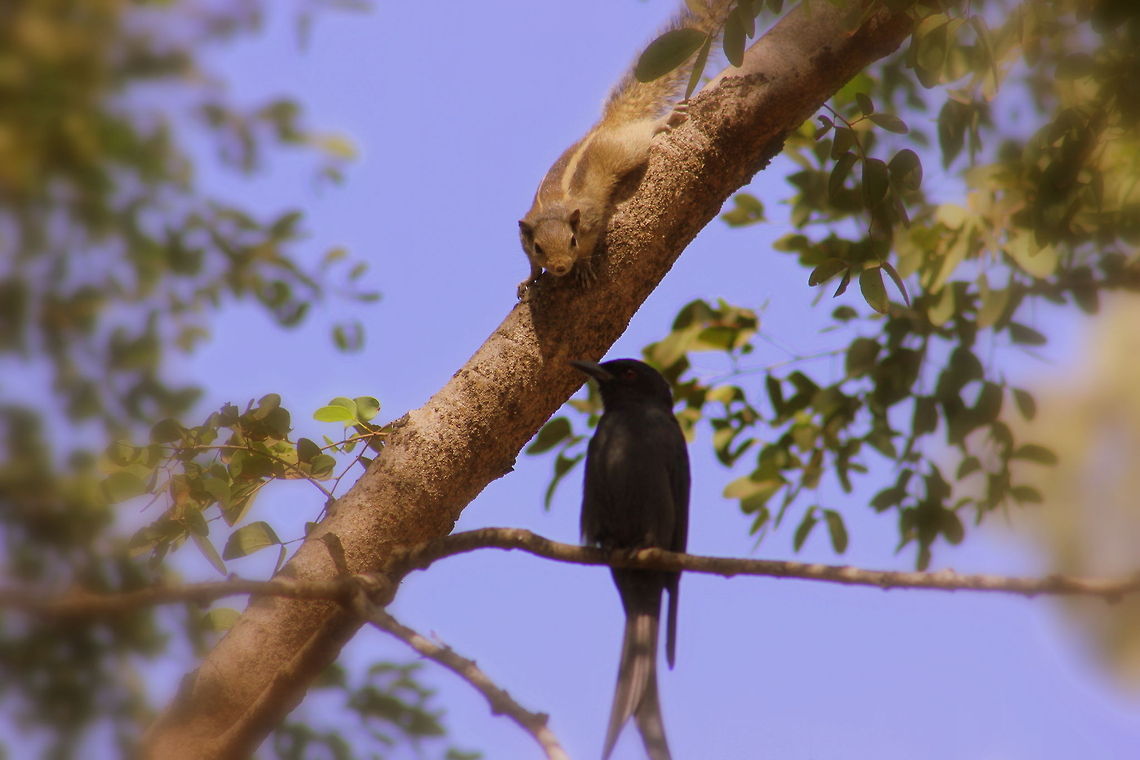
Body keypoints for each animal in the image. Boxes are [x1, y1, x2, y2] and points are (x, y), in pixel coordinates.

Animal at [517, 0, 732, 299]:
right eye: (538, 247)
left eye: (572, 241)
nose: (560, 267)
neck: (554, 210)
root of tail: (607, 126)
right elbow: (532, 266)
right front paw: (528, 279)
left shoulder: (591, 222)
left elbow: (591, 245)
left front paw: (583, 266)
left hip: (629, 147)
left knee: (643, 131)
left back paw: (662, 121)